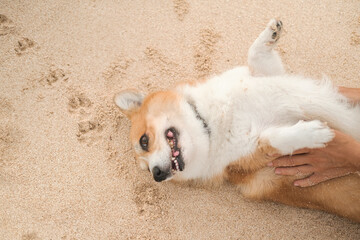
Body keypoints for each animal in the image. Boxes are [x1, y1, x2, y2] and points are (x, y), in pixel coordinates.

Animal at [115, 19, 360, 222]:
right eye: (147, 170)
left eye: (144, 141)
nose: (157, 174)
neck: (211, 126)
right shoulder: (257, 154)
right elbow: (273, 138)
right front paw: (312, 133)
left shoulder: (268, 74)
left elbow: (255, 54)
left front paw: (271, 32)